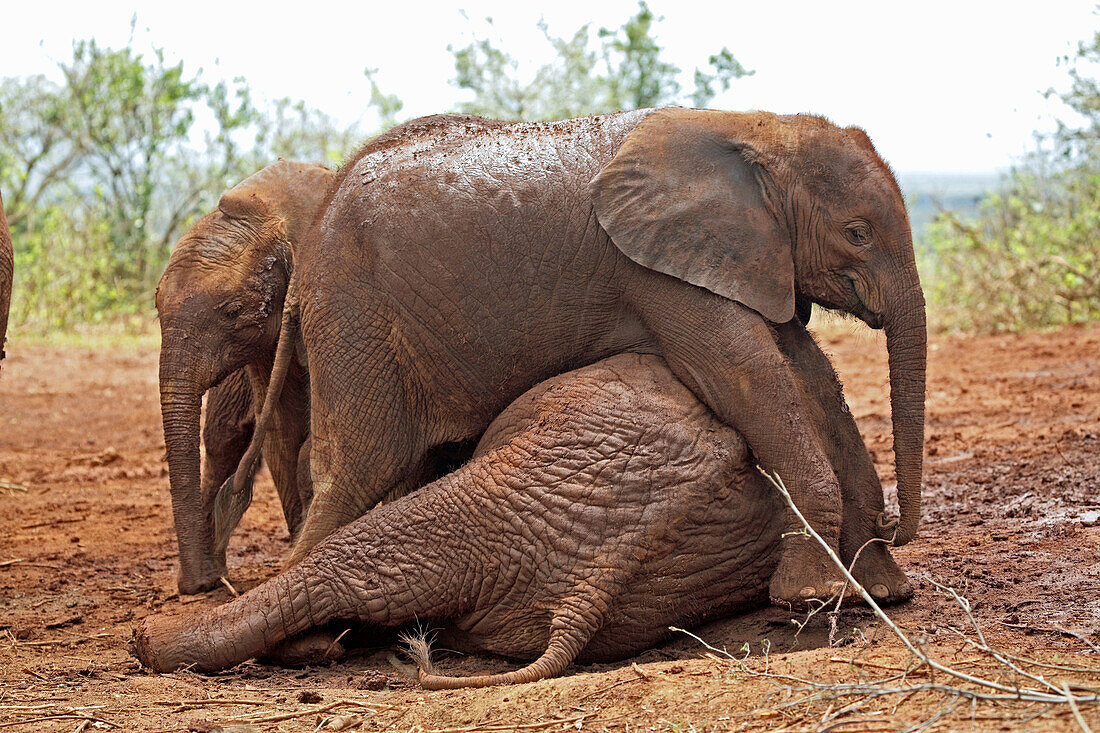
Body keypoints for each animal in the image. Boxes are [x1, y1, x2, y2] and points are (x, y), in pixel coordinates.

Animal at [238, 107, 919, 603]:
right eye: (857, 233)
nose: (897, 528)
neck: (756, 129)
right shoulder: (657, 271)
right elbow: (747, 379)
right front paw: (810, 597)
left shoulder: (738, 260)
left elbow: (811, 375)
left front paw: (879, 590)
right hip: (354, 315)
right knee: (359, 468)